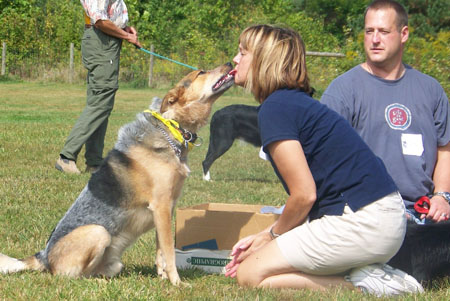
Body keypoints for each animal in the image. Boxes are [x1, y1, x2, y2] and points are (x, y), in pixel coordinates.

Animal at [0, 62, 236, 284]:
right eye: (201, 72)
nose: (230, 63)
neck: (171, 128)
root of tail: (42, 257)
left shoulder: (166, 210)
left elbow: (160, 251)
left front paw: (163, 279)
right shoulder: (161, 207)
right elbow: (169, 251)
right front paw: (177, 283)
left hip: (114, 262)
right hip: (98, 232)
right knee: (71, 277)